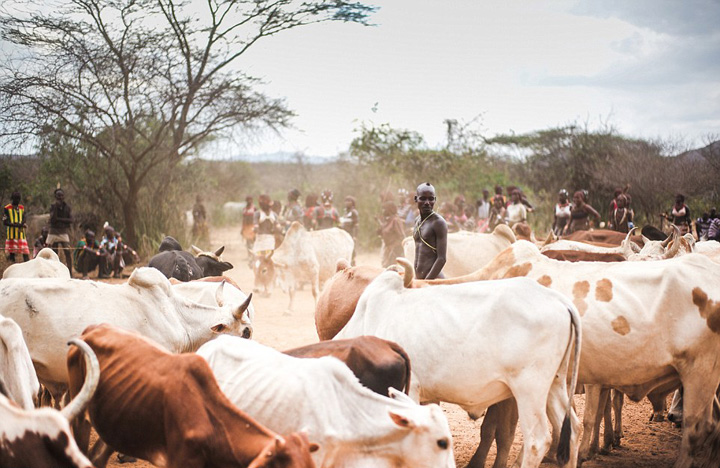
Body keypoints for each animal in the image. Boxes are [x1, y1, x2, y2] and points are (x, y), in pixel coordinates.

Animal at [336, 264, 580, 468]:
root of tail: (558, 299)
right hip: (554, 384)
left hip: (529, 389)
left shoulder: (409, 388)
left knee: (537, 440)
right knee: (572, 431)